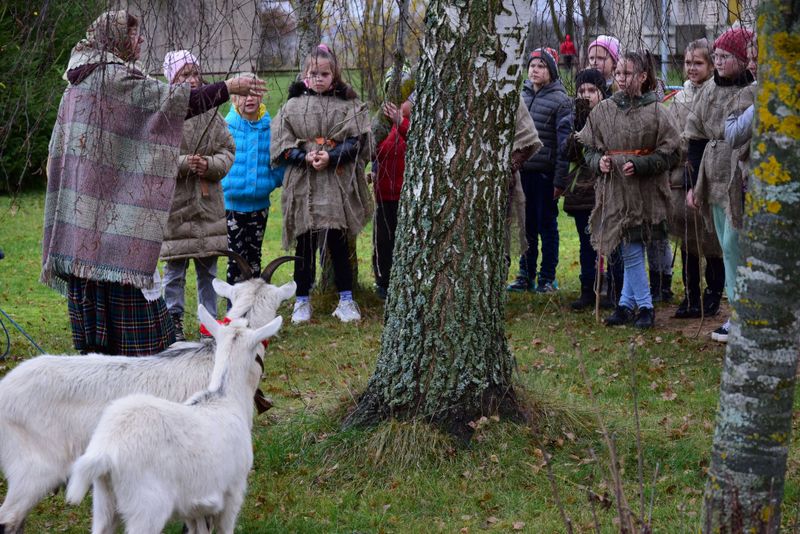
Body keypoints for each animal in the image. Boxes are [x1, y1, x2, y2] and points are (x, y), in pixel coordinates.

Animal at [66, 306, 281, 534]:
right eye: (258, 352)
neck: (225, 397)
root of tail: (105, 451)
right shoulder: (233, 491)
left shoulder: (194, 506)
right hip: (146, 507)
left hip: (104, 502)